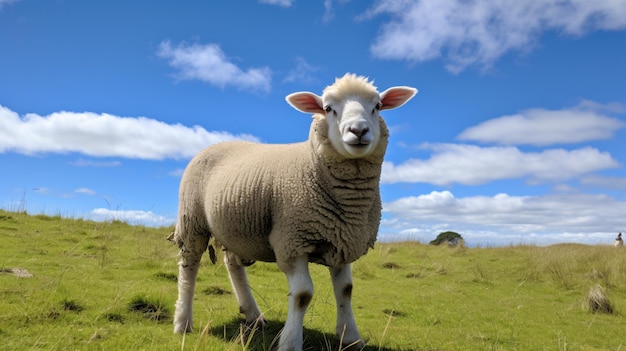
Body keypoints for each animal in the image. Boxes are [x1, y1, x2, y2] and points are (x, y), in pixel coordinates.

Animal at [172, 73, 414, 350]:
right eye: (328, 108)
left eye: (377, 106)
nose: (359, 130)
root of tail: (215, 144)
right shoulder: (292, 241)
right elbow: (302, 295)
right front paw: (290, 342)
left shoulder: (342, 239)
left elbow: (346, 290)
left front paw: (351, 337)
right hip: (193, 221)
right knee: (189, 267)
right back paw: (182, 322)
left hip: (234, 227)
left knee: (232, 263)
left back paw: (253, 315)